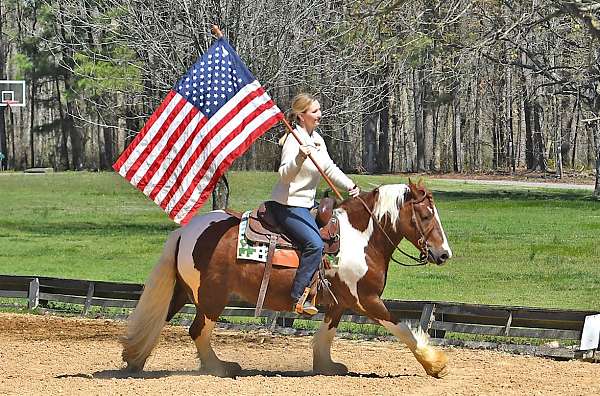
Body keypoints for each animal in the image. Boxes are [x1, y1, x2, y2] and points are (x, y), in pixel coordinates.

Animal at [120, 179, 450, 378]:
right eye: (425, 216)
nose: (444, 254)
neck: (359, 239)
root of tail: (187, 230)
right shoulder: (367, 300)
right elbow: (403, 330)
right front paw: (435, 364)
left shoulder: (339, 304)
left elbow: (326, 334)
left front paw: (326, 366)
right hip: (212, 298)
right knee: (198, 330)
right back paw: (219, 367)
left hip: (186, 292)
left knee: (162, 319)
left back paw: (135, 359)